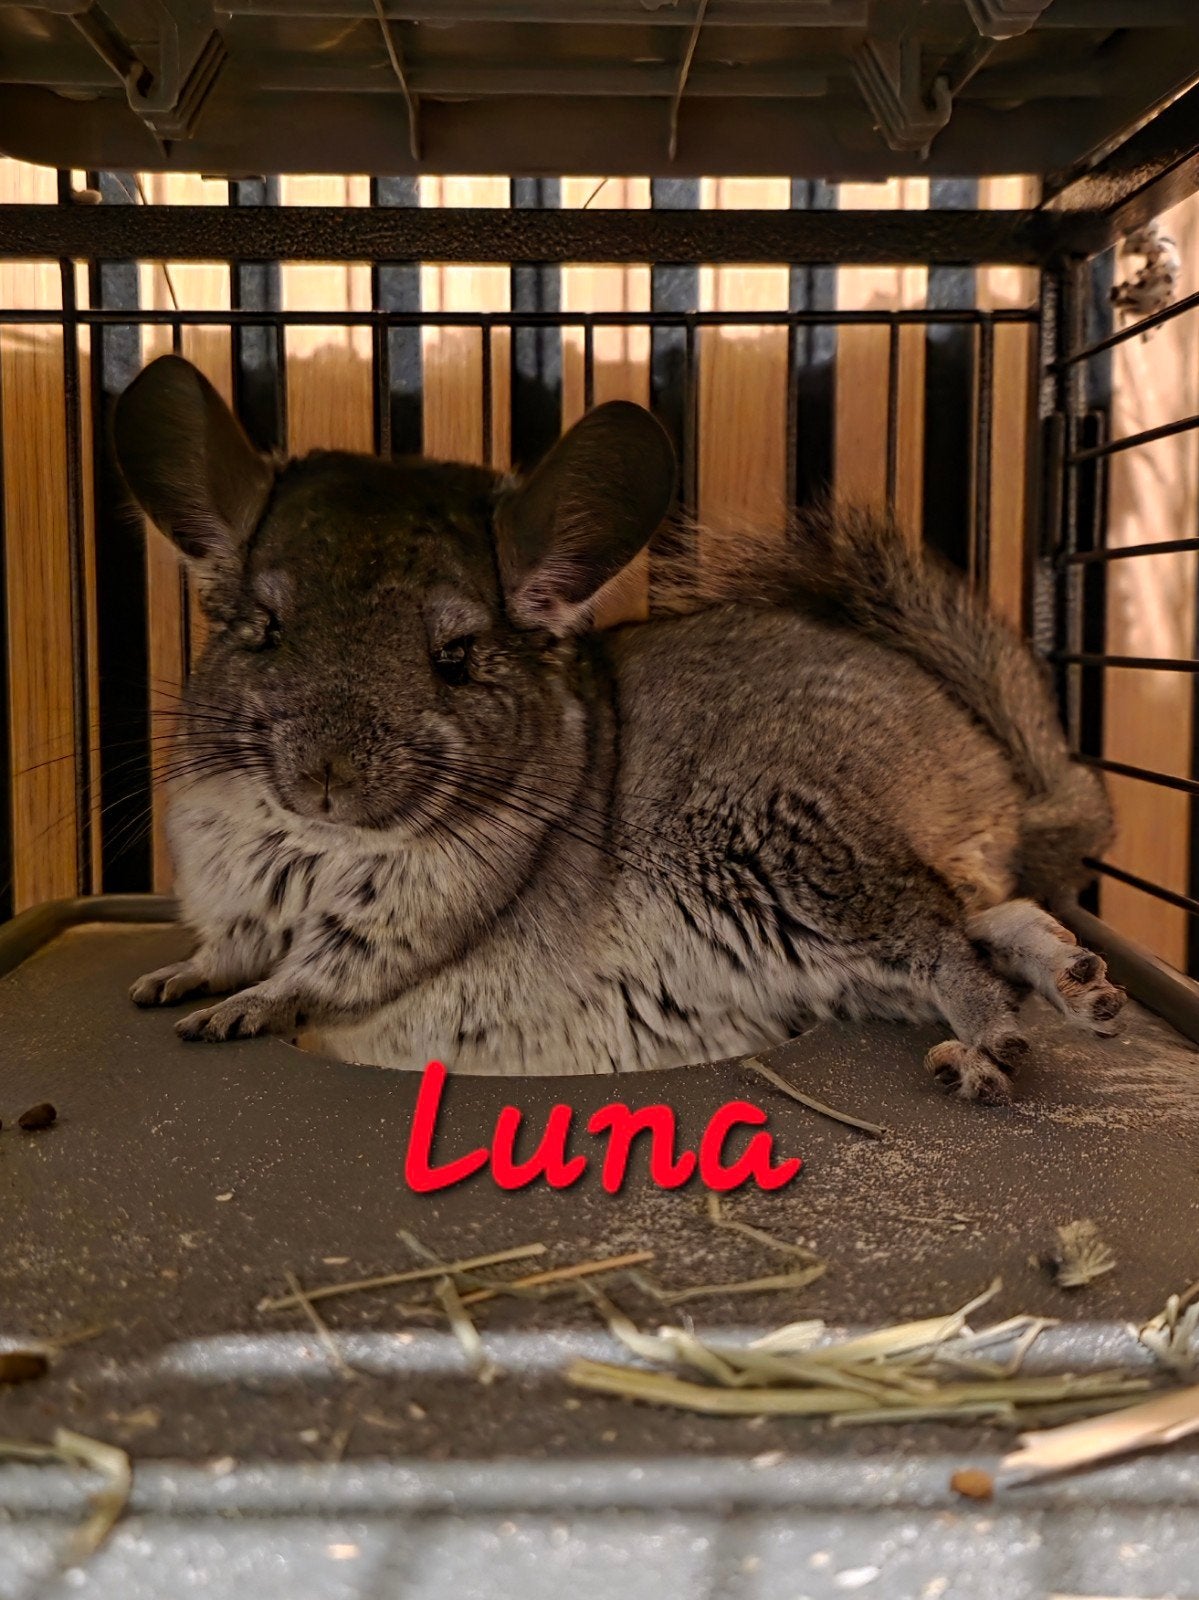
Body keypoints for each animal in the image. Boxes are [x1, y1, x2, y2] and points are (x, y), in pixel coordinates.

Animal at [114, 353, 1124, 1103]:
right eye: (264, 629)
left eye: (455, 656)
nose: (325, 776)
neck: (314, 844)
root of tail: (985, 775)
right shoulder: (231, 903)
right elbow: (224, 952)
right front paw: (166, 983)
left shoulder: (407, 920)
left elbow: (309, 976)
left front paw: (228, 1014)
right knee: (990, 917)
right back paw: (1079, 985)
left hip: (798, 854)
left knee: (946, 939)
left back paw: (993, 1048)